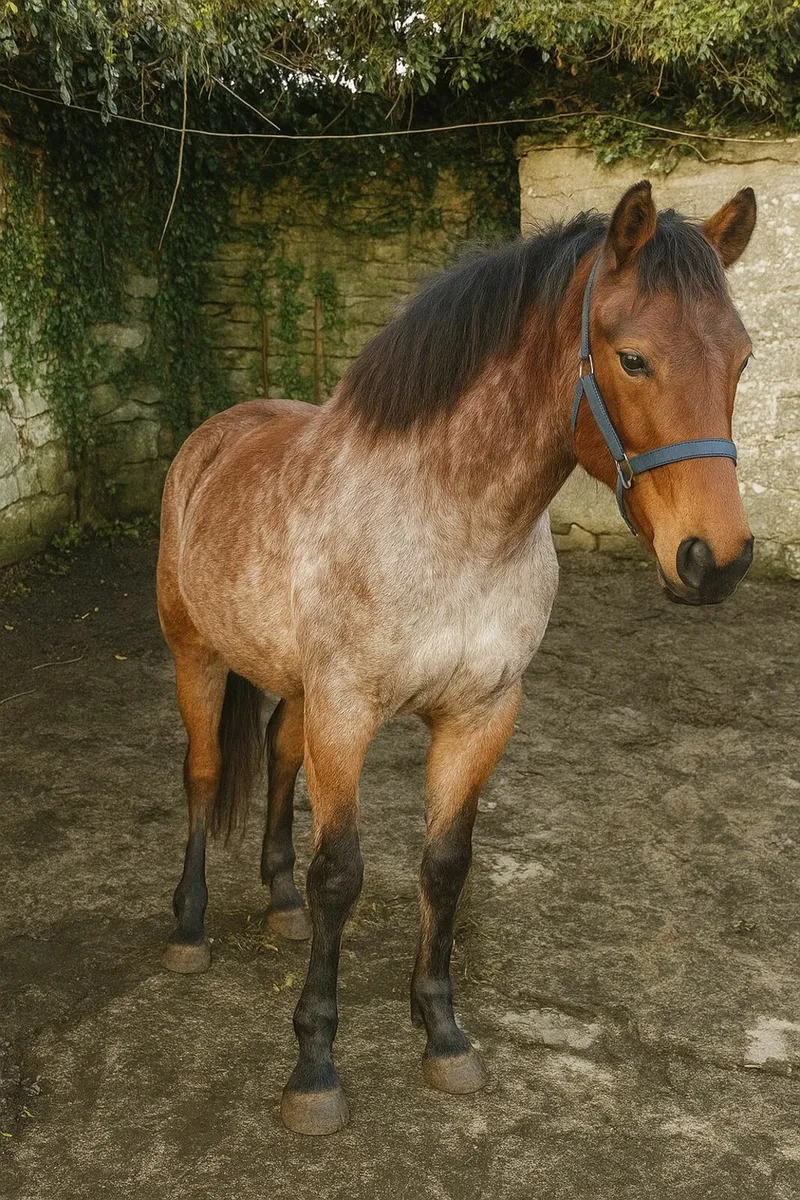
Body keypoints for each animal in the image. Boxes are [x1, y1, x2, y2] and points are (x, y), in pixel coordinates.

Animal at [156, 180, 757, 1135]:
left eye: (739, 361)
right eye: (632, 360)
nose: (717, 560)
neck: (454, 528)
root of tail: (214, 433)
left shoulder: (480, 713)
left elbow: (445, 865)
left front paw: (443, 1036)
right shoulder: (348, 712)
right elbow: (342, 875)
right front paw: (314, 1070)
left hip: (294, 689)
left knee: (280, 763)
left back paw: (279, 906)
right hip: (197, 657)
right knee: (206, 774)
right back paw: (188, 930)